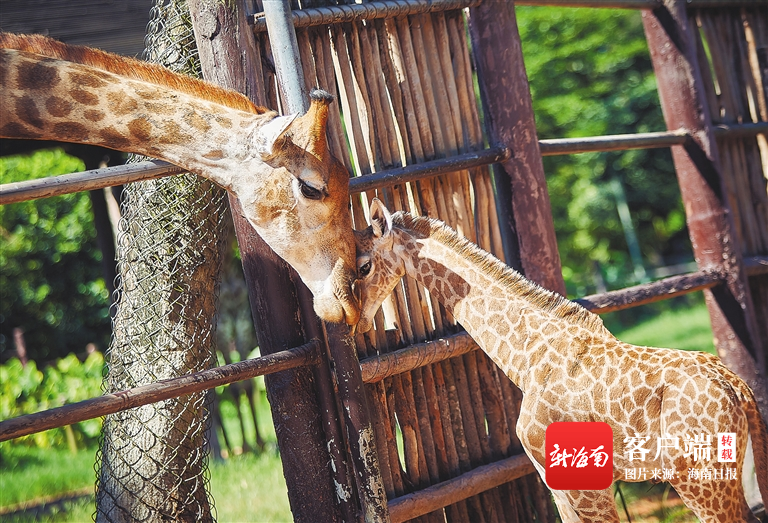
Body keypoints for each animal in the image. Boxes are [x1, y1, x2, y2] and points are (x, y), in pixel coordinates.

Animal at [354, 198, 768, 523]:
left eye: (363, 265)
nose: (353, 320)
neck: (526, 358)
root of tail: (737, 386)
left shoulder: (580, 483)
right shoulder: (560, 484)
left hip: (700, 481)